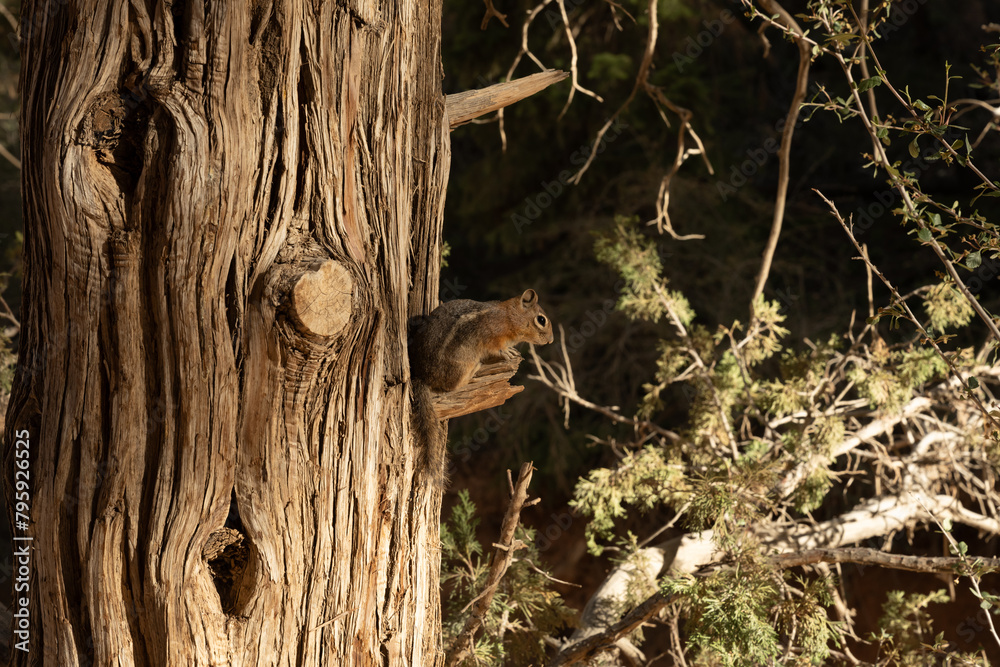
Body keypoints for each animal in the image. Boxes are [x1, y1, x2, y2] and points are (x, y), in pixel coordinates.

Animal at [408, 289, 555, 487]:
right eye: (541, 320)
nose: (551, 340)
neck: (509, 317)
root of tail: (423, 377)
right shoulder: (492, 337)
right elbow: (497, 348)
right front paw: (508, 352)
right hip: (464, 363)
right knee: (452, 386)